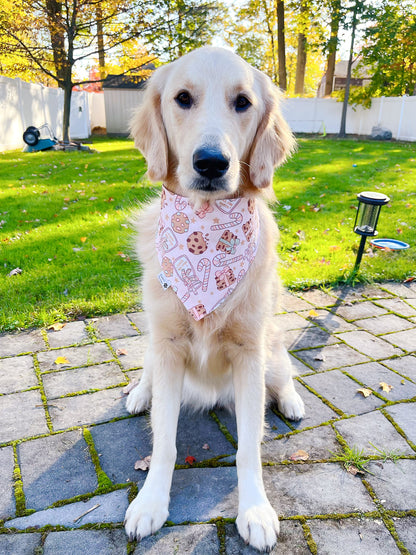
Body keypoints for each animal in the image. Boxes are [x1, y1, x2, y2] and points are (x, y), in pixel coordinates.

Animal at [125, 46, 304, 552]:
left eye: (243, 102)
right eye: (182, 98)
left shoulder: (249, 353)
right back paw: (138, 394)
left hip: (270, 353)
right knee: (146, 376)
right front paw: (150, 503)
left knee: (285, 374)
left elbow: (249, 448)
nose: (210, 163)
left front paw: (256, 510)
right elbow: (164, 443)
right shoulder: (166, 347)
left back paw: (291, 401)